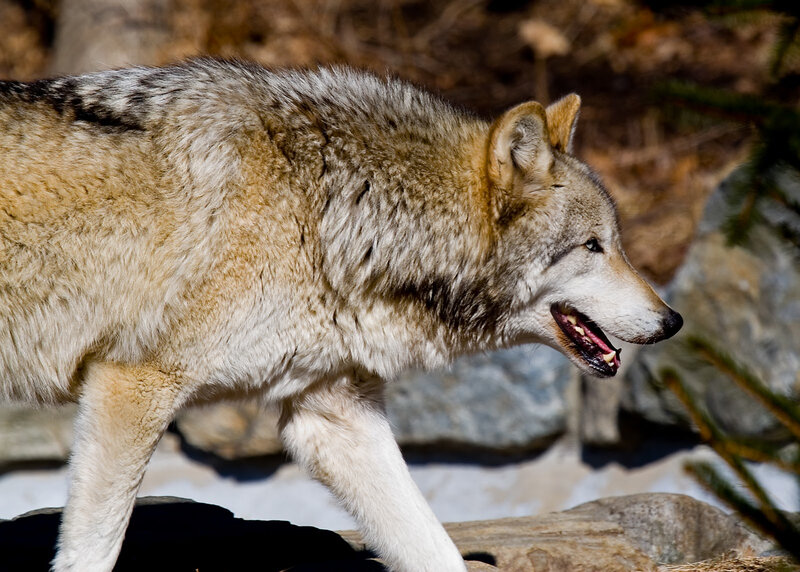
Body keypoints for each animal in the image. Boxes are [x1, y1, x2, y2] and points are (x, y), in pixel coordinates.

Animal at [0, 58, 682, 571]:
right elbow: (93, 549)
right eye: (593, 247)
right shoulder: (132, 384)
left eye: (615, 243)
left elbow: (434, 546)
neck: (321, 208)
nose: (672, 320)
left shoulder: (333, 414)